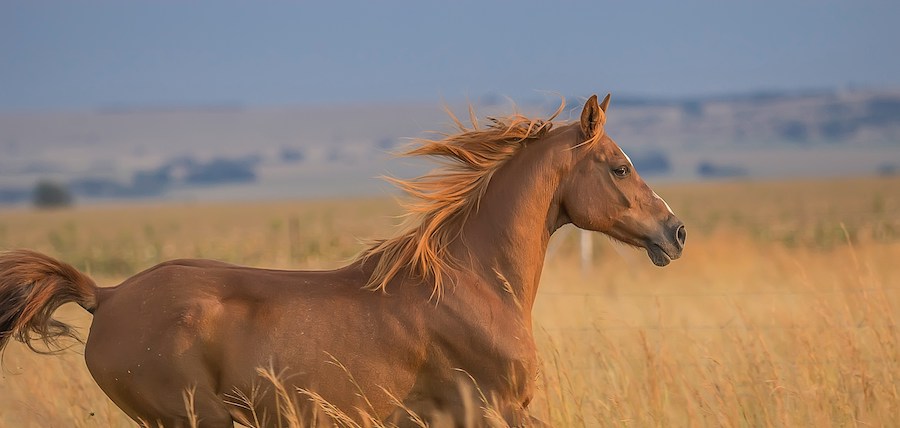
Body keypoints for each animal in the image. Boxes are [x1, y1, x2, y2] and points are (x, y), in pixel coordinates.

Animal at [0, 94, 685, 427]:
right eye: (620, 167)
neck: (473, 285)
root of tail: (108, 296)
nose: (675, 232)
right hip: (191, 421)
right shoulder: (496, 411)